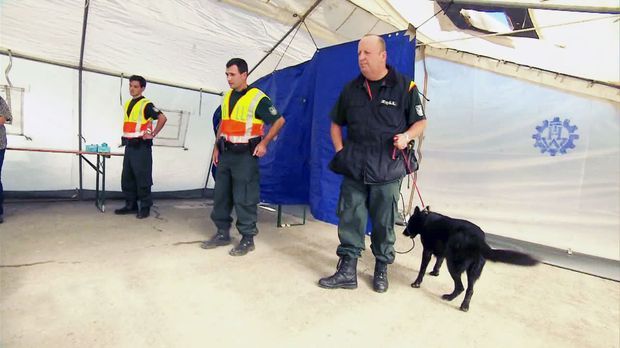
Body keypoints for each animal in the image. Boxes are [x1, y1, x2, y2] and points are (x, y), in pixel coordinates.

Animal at [402, 205, 536, 312]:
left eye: (410, 222)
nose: (404, 233)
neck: (425, 219)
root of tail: (478, 240)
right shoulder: (442, 253)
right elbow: (438, 262)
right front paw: (435, 272)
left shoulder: (427, 251)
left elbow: (422, 269)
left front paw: (417, 283)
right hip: (472, 272)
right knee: (470, 290)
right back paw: (464, 306)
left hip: (453, 265)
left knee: (460, 287)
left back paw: (449, 297)